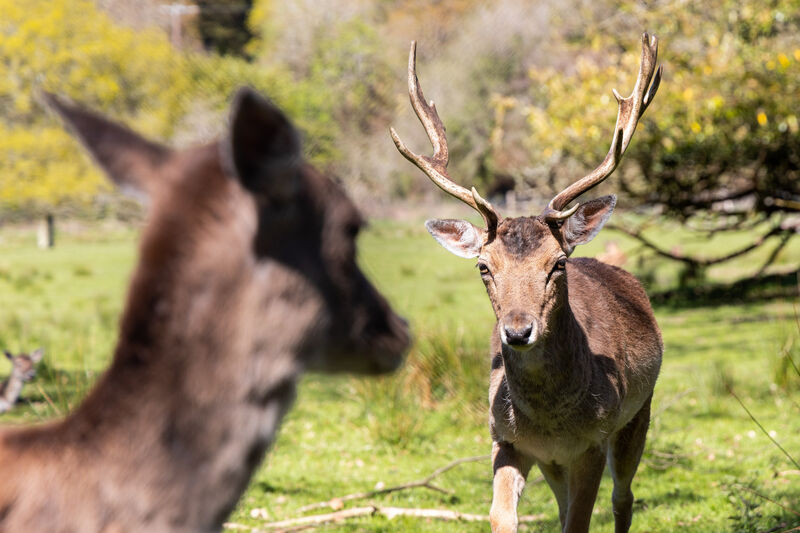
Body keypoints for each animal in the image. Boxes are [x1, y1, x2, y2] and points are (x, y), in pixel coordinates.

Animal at [390, 34, 663, 533]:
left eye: (556, 264)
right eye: (484, 266)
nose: (518, 331)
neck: (551, 423)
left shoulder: (593, 442)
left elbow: (579, 522)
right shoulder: (506, 439)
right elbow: (503, 517)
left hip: (639, 413)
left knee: (624, 497)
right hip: (556, 463)